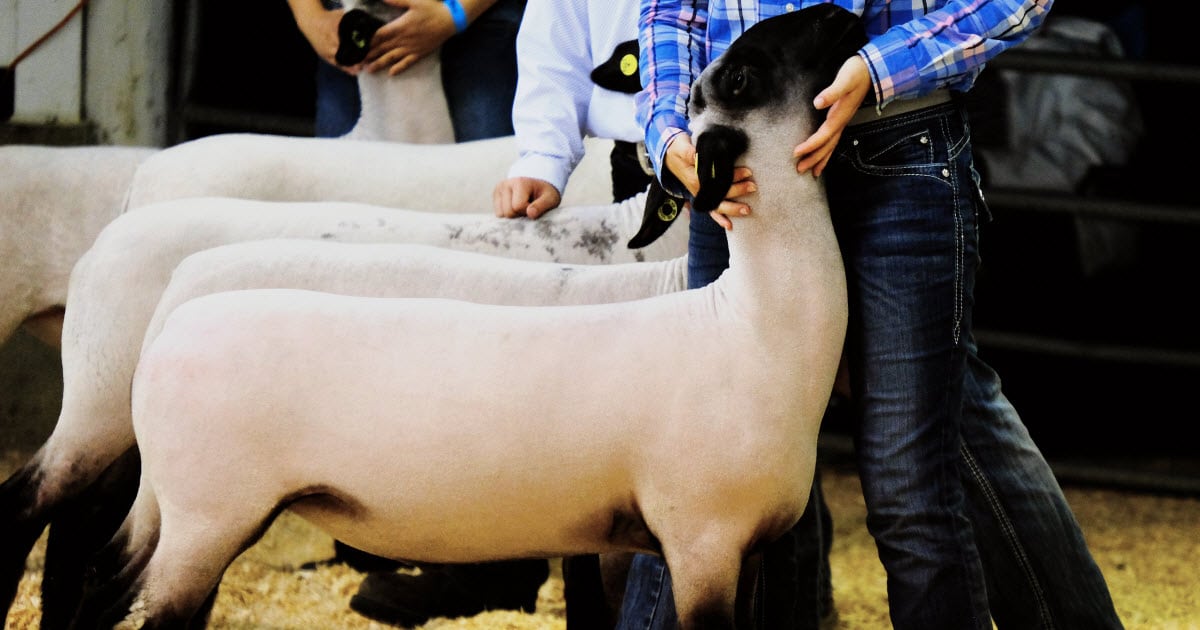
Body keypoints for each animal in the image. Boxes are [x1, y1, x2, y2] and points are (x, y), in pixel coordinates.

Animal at [74, 7, 862, 627]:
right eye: (741, 78)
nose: (836, 15)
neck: (751, 325)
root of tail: (173, 325)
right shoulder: (700, 539)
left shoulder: (730, 546)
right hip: (207, 511)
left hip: (174, 505)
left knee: (109, 573)